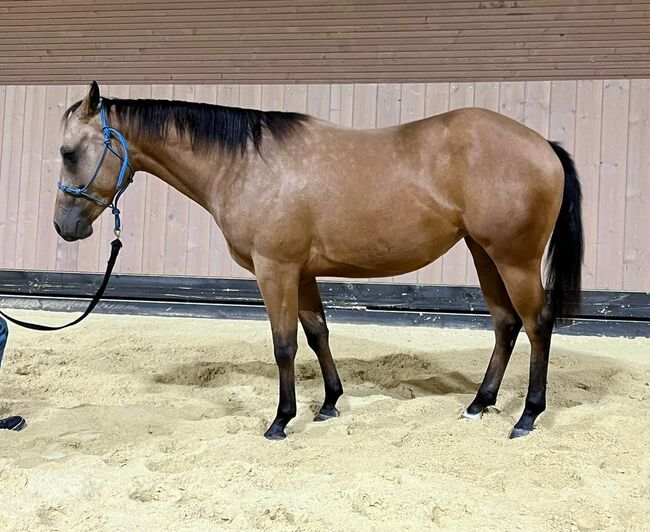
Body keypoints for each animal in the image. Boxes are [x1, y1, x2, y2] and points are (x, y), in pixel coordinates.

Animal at [55, 82, 584, 440]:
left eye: (67, 151)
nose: (65, 226)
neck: (245, 164)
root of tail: (545, 146)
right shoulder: (302, 271)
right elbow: (316, 334)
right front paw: (329, 404)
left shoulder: (275, 269)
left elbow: (284, 345)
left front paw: (281, 420)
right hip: (483, 253)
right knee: (505, 323)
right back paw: (479, 403)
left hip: (514, 258)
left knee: (536, 323)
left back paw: (528, 415)